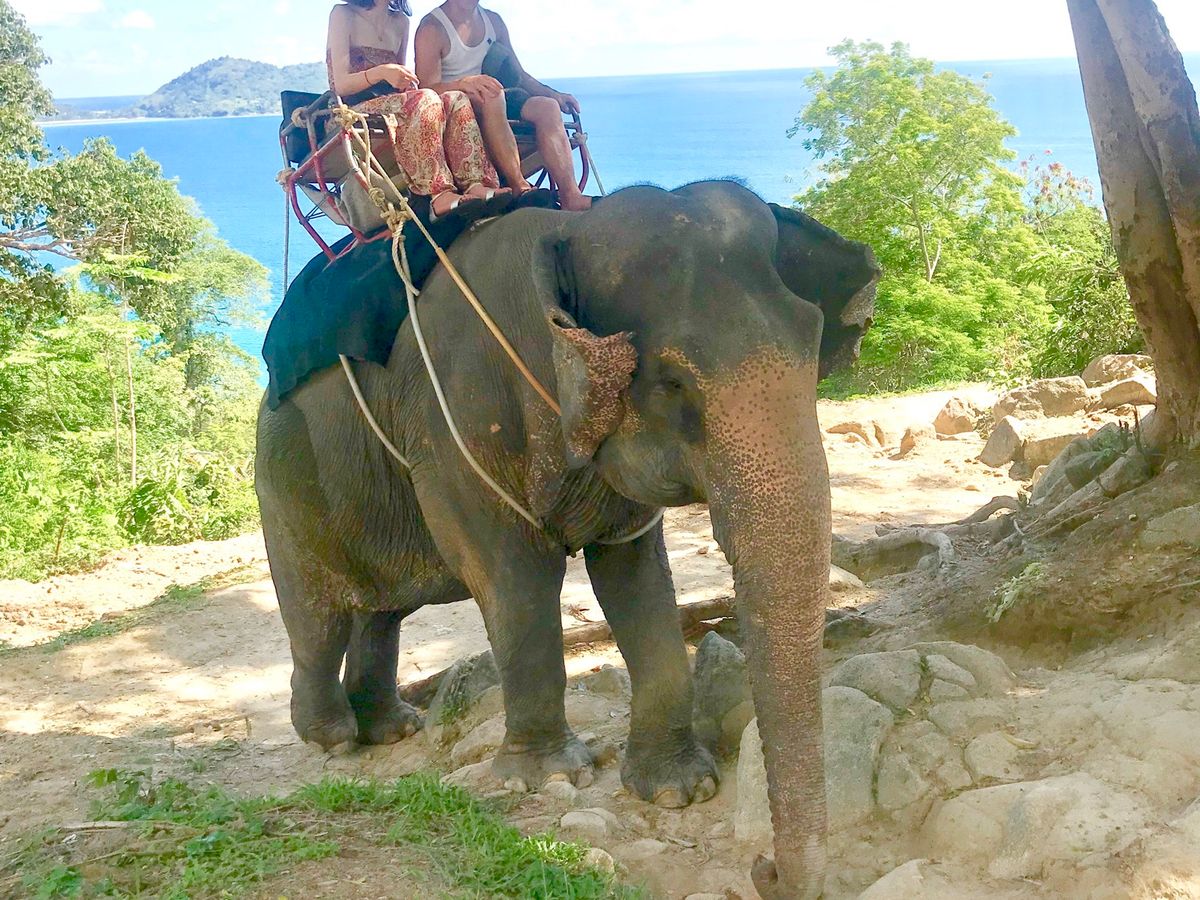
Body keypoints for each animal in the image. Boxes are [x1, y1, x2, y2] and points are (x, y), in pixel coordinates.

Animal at [255, 180, 879, 898]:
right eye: (671, 382)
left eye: (813, 351)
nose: (764, 868)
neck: (568, 231)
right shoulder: (454, 424)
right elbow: (513, 576)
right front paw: (551, 777)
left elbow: (635, 574)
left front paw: (677, 791)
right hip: (284, 487)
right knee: (318, 615)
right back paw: (330, 737)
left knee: (381, 612)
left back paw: (389, 729)